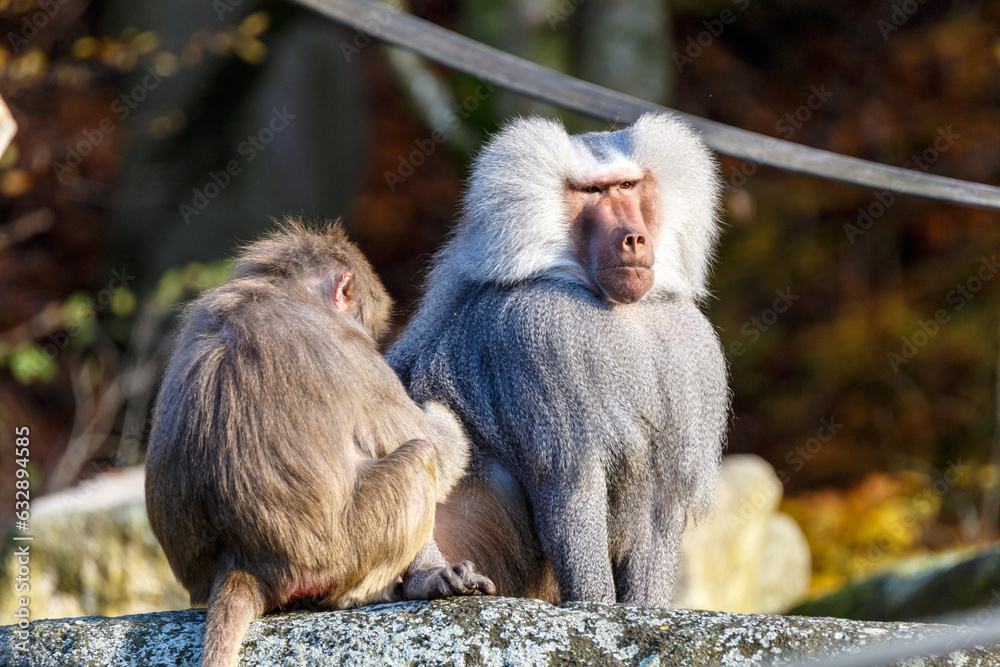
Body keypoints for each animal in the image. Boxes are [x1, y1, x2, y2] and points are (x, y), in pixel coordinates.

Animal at [144, 219, 494, 667]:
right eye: (360, 320)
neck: (276, 290)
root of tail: (243, 562)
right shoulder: (352, 351)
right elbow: (442, 452)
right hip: (344, 554)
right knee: (418, 458)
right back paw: (410, 585)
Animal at [388, 112, 729, 607]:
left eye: (627, 185)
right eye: (591, 192)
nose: (633, 239)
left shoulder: (685, 348)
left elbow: (660, 503)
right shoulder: (542, 337)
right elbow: (571, 487)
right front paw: (597, 606)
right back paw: (430, 579)